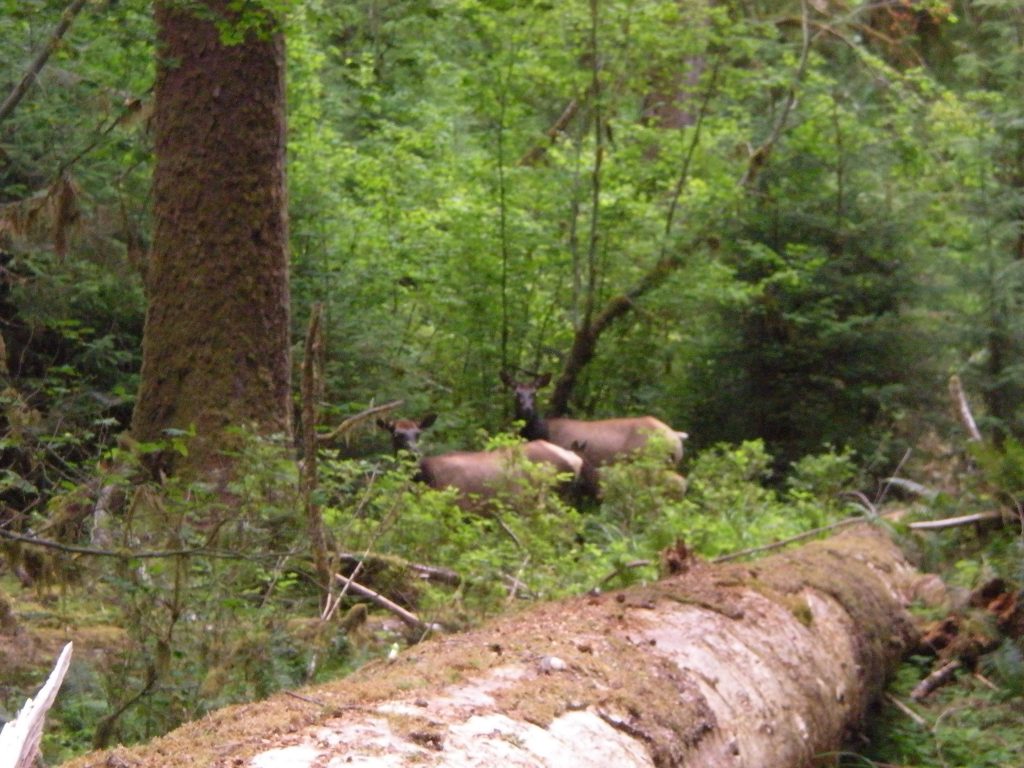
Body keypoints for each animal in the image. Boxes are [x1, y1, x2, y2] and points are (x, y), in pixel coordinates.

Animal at [377, 415, 596, 509]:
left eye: (418, 433)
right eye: (397, 434)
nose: (413, 454)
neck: (427, 479)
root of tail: (575, 459)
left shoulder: (460, 505)